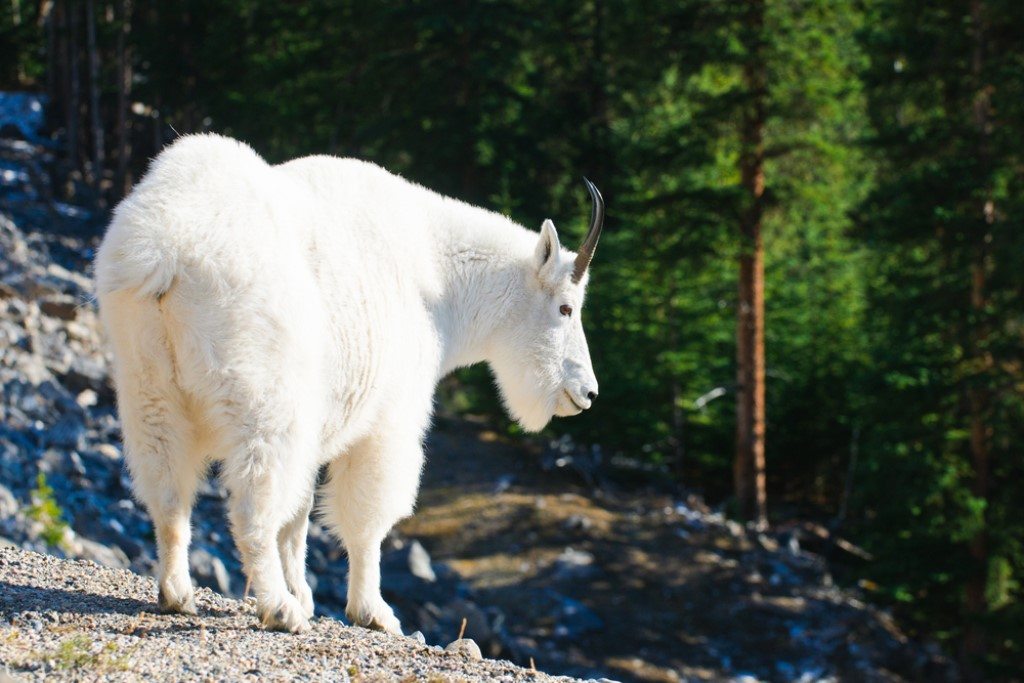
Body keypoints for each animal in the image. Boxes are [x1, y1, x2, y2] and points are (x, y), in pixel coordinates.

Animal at [93, 133, 602, 634]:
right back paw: (278, 608)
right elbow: (364, 519)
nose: (587, 393)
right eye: (566, 307)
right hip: (266, 401)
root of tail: (166, 246)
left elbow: (298, 518)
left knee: (168, 492)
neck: (438, 283)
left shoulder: (319, 429)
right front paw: (372, 611)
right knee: (253, 506)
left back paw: (178, 594)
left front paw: (307, 594)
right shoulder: (388, 419)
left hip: (147, 382)